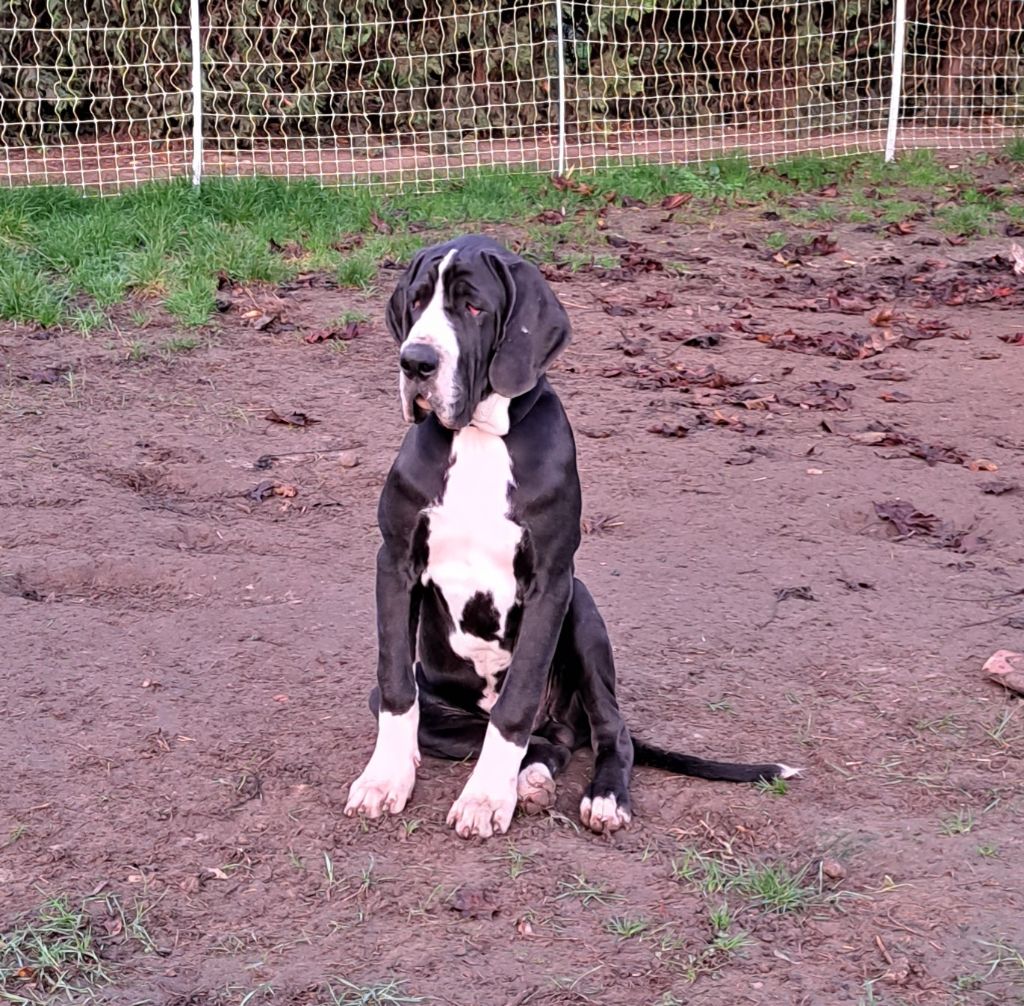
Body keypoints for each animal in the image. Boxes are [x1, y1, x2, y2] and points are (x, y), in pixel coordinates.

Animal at [344, 238, 790, 844]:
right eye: (416, 302)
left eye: (474, 307)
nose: (416, 362)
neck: (479, 437)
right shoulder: (395, 562)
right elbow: (394, 686)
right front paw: (385, 779)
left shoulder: (552, 580)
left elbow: (516, 704)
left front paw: (485, 798)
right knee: (543, 740)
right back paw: (530, 778)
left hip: (583, 610)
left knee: (603, 730)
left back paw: (599, 795)